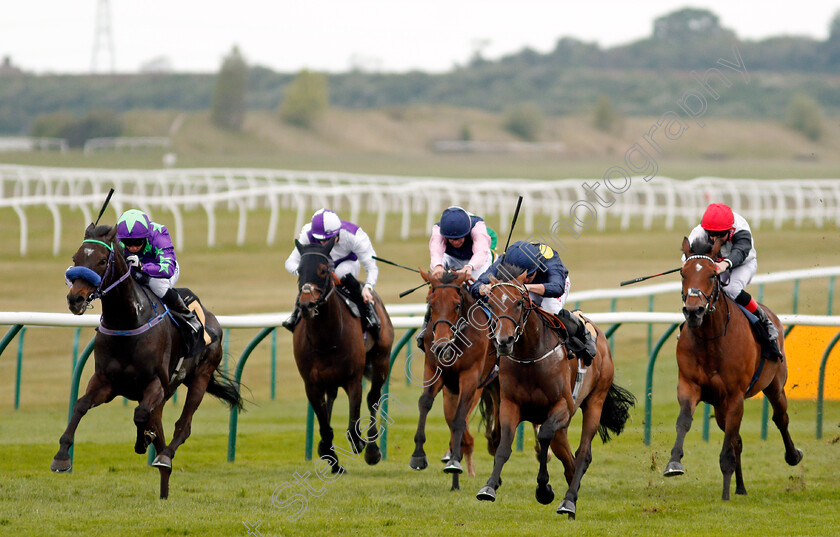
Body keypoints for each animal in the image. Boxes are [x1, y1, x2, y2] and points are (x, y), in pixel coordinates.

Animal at [56, 223, 243, 498]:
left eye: (101, 261)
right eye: (75, 259)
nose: (75, 299)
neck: (127, 321)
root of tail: (211, 318)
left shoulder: (155, 383)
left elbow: (140, 413)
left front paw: (141, 441)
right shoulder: (105, 382)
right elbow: (80, 406)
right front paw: (61, 456)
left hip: (200, 376)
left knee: (183, 426)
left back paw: (164, 456)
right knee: (161, 436)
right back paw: (163, 488)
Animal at [292, 238, 394, 468]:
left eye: (323, 270)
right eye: (299, 270)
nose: (306, 305)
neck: (325, 339)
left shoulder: (353, 379)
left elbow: (353, 428)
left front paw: (364, 446)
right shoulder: (311, 384)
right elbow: (325, 427)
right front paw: (329, 455)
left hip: (382, 360)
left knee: (373, 398)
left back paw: (372, 448)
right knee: (331, 398)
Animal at [408, 268, 496, 490]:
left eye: (457, 305)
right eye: (431, 303)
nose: (440, 346)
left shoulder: (470, 378)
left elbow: (459, 419)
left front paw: (455, 461)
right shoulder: (433, 369)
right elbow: (425, 403)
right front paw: (418, 455)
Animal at [476, 262, 632, 516]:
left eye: (519, 302)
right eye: (491, 302)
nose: (503, 341)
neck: (530, 357)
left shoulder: (563, 406)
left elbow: (544, 436)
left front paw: (544, 489)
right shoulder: (510, 405)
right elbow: (504, 445)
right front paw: (489, 487)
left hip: (595, 401)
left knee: (582, 454)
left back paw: (569, 501)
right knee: (567, 457)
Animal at [668, 238, 804, 498]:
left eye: (712, 274)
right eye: (682, 273)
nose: (693, 311)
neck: (711, 340)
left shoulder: (735, 396)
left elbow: (729, 444)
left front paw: (725, 494)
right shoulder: (689, 386)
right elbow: (683, 421)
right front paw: (674, 462)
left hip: (774, 386)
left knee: (780, 418)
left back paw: (793, 456)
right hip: (720, 406)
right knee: (737, 440)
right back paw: (740, 486)